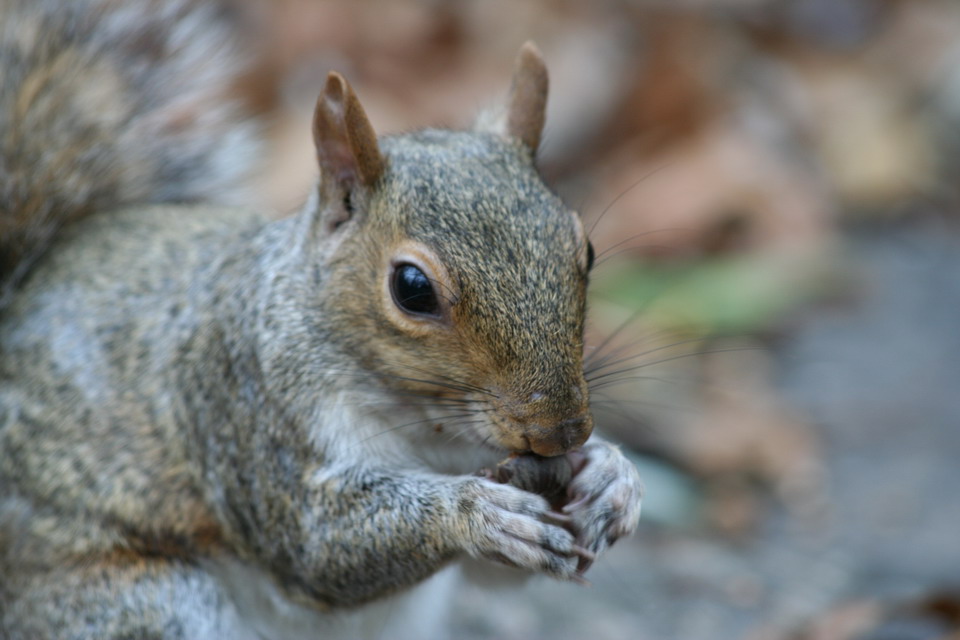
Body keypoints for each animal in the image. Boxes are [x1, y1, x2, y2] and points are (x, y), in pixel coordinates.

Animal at [0, 1, 643, 638]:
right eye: (412, 289)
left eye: (585, 249)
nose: (561, 431)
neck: (429, 427)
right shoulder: (245, 411)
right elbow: (316, 546)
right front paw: (475, 513)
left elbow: (501, 575)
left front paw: (613, 476)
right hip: (143, 600)